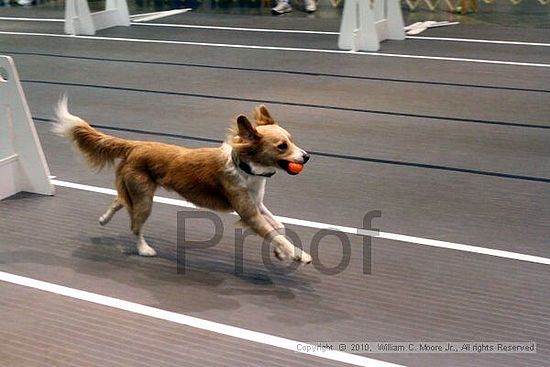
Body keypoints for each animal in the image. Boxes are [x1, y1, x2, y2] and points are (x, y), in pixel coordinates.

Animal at [53, 96, 312, 264]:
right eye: (282, 146)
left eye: (292, 140)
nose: (306, 156)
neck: (246, 168)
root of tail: (135, 145)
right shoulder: (249, 213)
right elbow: (274, 233)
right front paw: (294, 254)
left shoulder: (257, 205)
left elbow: (279, 226)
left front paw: (287, 253)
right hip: (144, 199)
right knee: (135, 225)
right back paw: (144, 249)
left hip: (136, 192)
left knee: (119, 200)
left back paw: (104, 219)